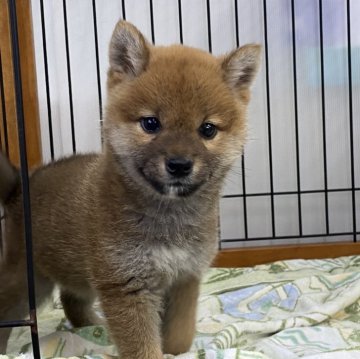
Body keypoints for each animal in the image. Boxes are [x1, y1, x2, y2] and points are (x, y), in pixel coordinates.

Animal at [0, 20, 260, 359]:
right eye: (150, 123)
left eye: (207, 129)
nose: (179, 164)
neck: (168, 217)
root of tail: (21, 184)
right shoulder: (125, 285)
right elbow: (143, 347)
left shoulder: (185, 278)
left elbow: (179, 335)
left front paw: (177, 352)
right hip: (28, 278)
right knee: (7, 310)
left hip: (74, 274)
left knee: (71, 300)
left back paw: (91, 327)